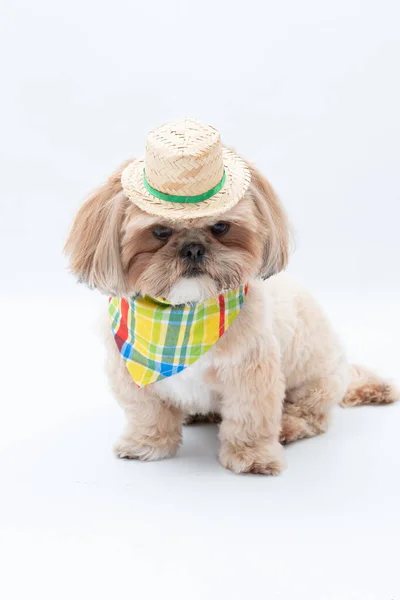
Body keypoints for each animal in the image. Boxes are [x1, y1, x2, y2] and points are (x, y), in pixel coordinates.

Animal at [64, 118, 398, 474]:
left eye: (221, 227)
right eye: (160, 232)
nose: (193, 248)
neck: (183, 318)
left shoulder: (250, 372)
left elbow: (249, 418)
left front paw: (252, 456)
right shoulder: (132, 376)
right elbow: (148, 414)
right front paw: (147, 444)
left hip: (316, 382)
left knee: (311, 415)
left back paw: (288, 427)